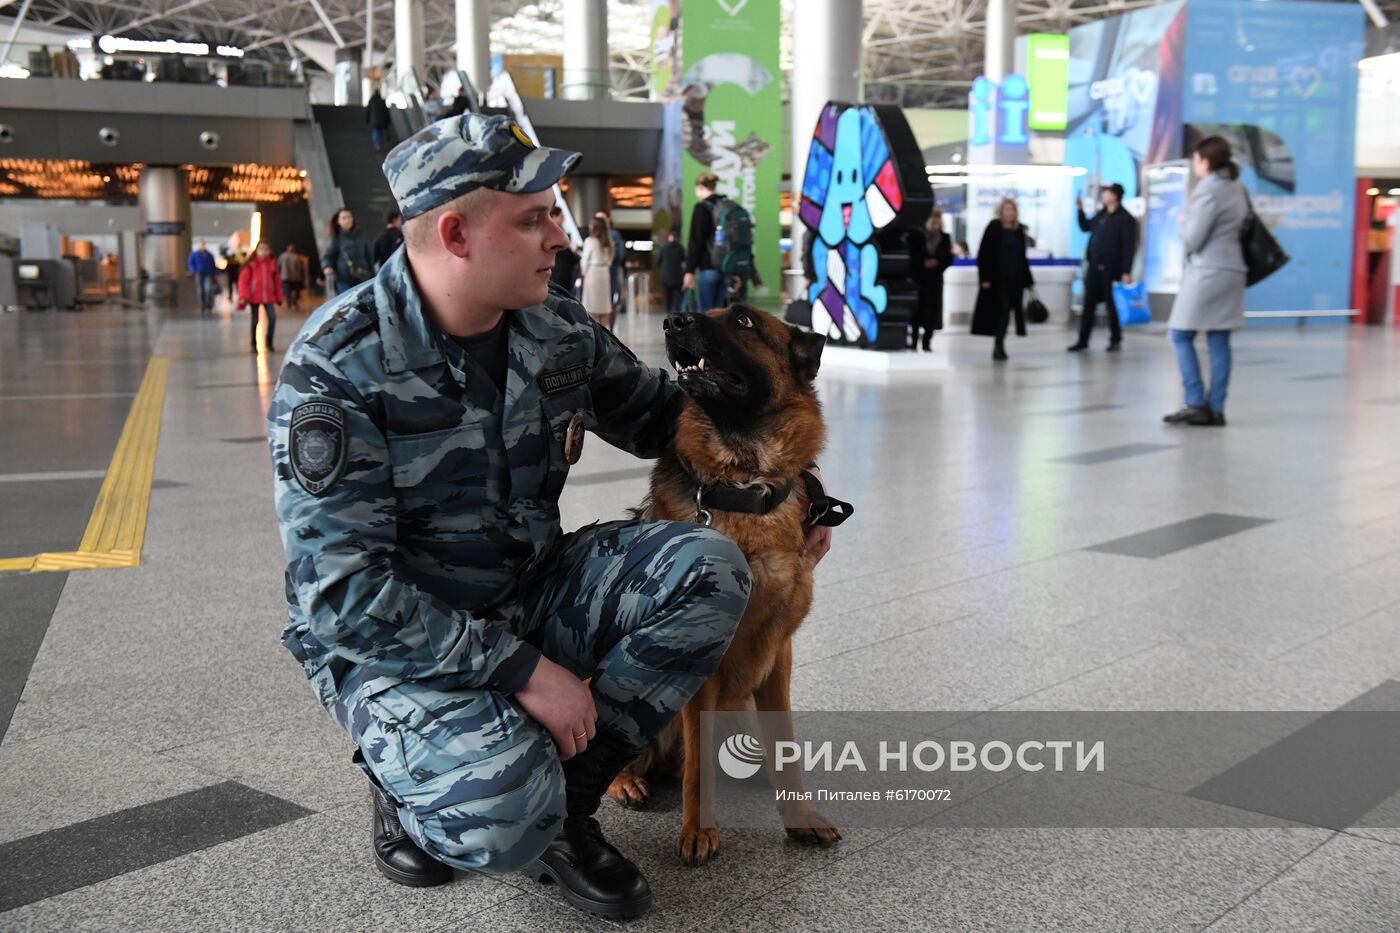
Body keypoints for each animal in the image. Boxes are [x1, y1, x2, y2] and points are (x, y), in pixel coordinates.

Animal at [604, 305, 840, 862]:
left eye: (743, 321)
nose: (671, 321)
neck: (743, 483)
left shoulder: (779, 655)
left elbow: (786, 748)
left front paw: (798, 817)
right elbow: (698, 773)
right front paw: (698, 831)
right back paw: (625, 781)